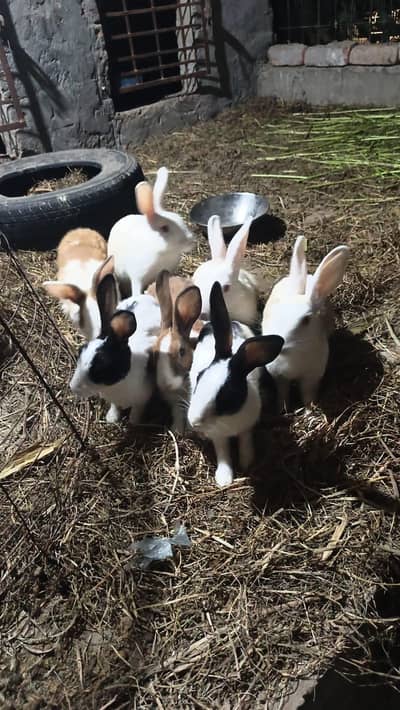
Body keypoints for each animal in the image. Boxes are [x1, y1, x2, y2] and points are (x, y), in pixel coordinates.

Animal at [69, 273, 161, 425]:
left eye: (102, 368)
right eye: (80, 353)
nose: (72, 387)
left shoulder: (142, 399)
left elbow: (137, 411)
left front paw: (134, 422)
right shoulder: (114, 400)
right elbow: (115, 406)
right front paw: (112, 418)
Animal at [107, 167, 194, 298]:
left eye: (180, 218)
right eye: (164, 228)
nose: (191, 240)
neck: (162, 253)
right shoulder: (137, 277)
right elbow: (137, 290)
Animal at [151, 270, 202, 433]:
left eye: (182, 351)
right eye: (154, 352)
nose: (165, 384)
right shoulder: (175, 403)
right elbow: (179, 414)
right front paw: (177, 430)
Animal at [188, 281, 284, 488]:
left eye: (228, 394)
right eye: (199, 377)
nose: (194, 422)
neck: (228, 420)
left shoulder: (247, 426)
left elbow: (245, 441)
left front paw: (247, 462)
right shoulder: (218, 436)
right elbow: (223, 452)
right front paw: (224, 479)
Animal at [261, 235, 350, 411]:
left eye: (306, 320)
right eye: (276, 313)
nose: (280, 342)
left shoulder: (311, 378)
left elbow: (308, 396)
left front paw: (309, 412)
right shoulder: (279, 377)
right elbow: (282, 393)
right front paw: (282, 410)